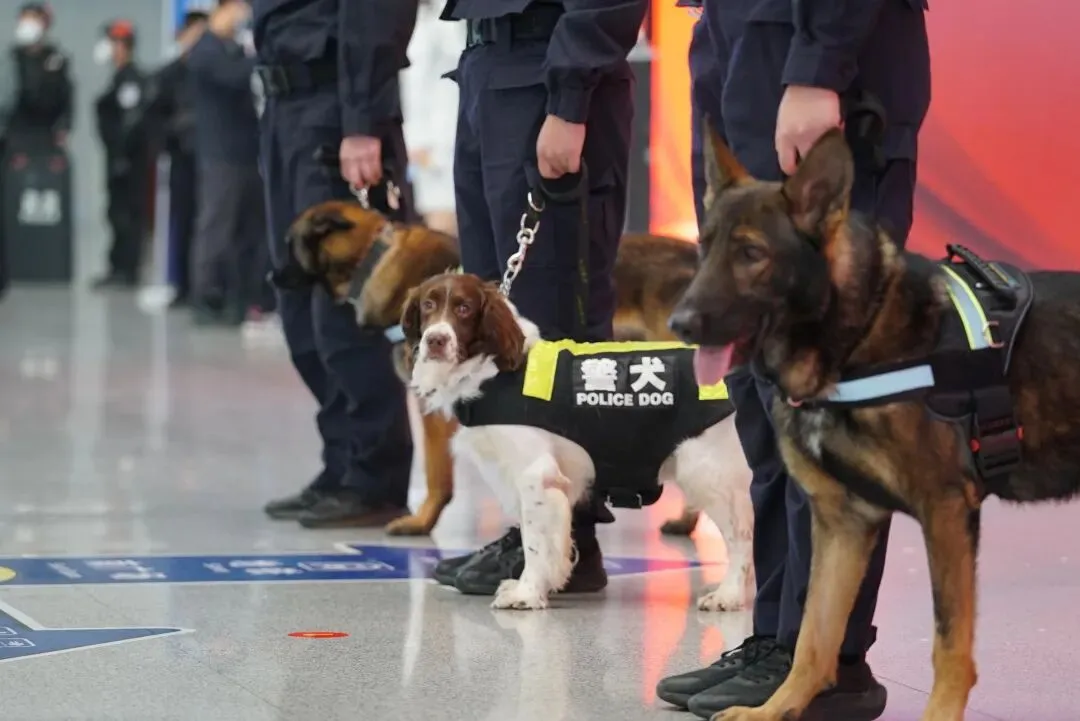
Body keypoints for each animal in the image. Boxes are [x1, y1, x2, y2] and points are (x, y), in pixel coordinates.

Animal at [280, 202, 715, 537]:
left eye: (288, 244)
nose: (271, 277)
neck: (375, 256)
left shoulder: (436, 410)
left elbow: (438, 476)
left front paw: (422, 522)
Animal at [401, 271, 753, 611]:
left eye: (464, 308)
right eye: (428, 305)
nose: (435, 340)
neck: (493, 368)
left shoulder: (535, 474)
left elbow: (535, 543)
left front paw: (527, 593)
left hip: (707, 471)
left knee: (741, 538)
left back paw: (729, 594)